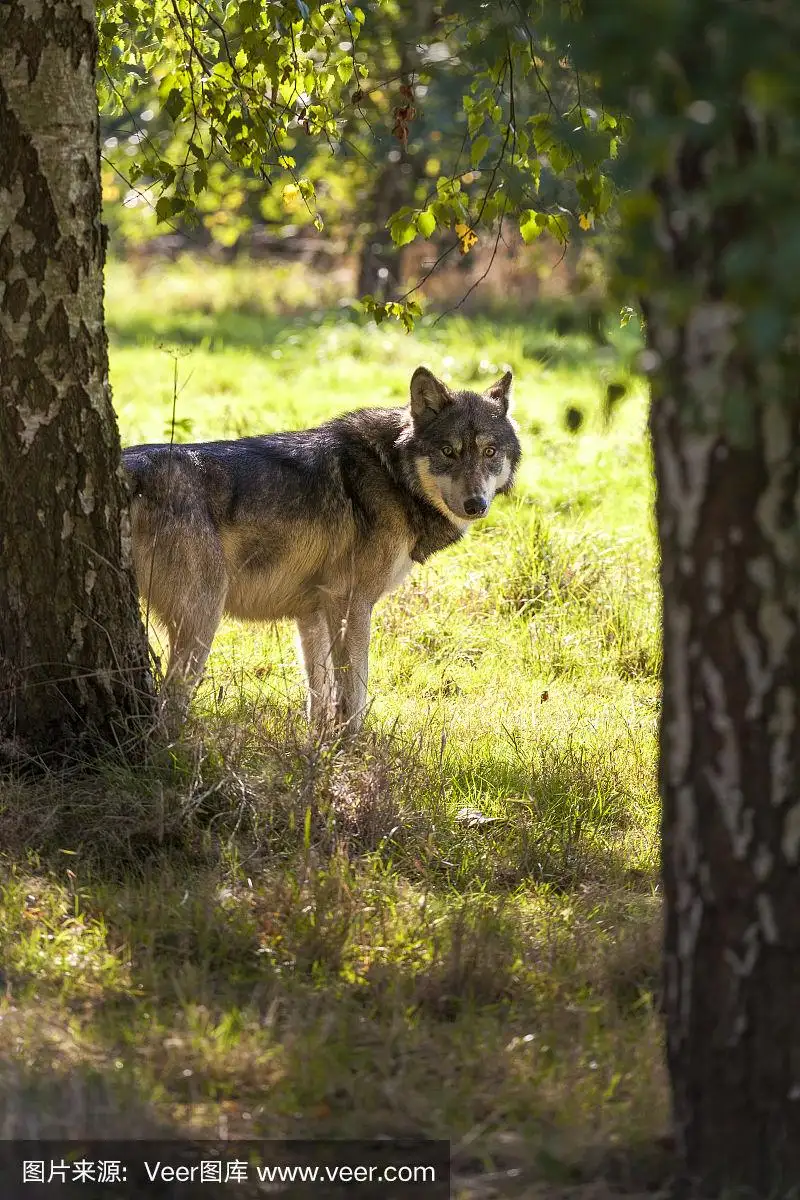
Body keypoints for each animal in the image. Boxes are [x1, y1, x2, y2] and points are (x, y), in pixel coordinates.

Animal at [122, 362, 522, 729]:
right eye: (448, 452)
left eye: (489, 452)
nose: (476, 505)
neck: (393, 474)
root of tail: (129, 468)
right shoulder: (351, 603)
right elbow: (354, 694)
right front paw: (351, 748)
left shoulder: (312, 610)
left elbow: (320, 696)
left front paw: (318, 749)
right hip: (203, 620)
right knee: (169, 705)